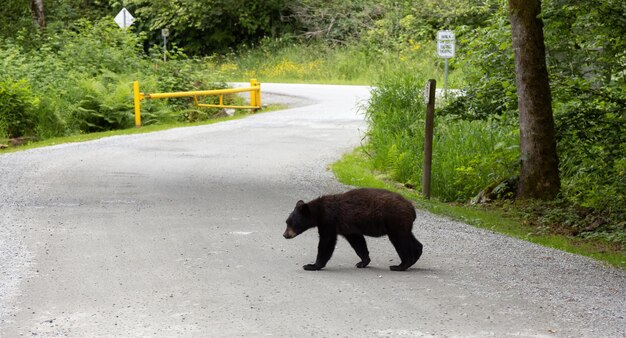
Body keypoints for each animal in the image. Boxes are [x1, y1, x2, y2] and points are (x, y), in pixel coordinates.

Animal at [282, 189, 420, 270]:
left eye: (292, 223)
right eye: (286, 222)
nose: (284, 235)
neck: (318, 212)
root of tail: (411, 208)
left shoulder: (329, 221)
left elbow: (327, 242)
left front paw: (312, 265)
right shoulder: (349, 228)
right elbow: (357, 242)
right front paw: (363, 262)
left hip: (395, 221)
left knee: (401, 241)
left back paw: (400, 265)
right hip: (402, 224)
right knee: (411, 239)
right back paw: (415, 256)